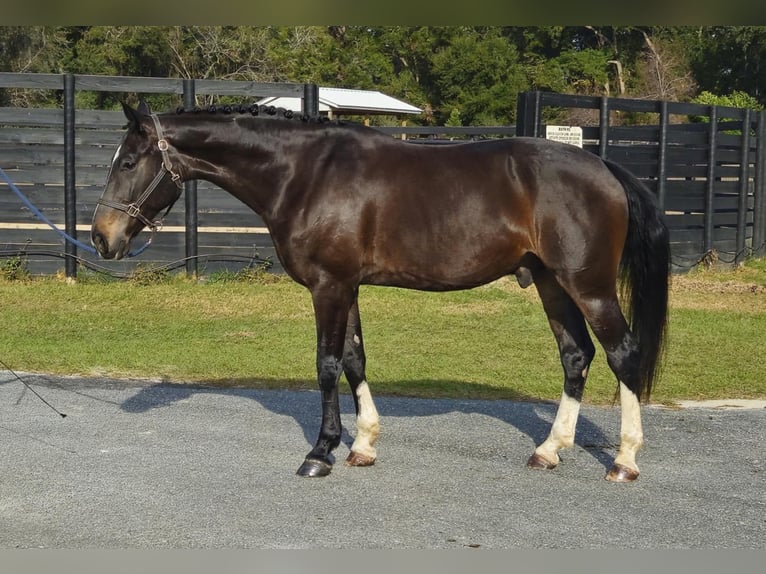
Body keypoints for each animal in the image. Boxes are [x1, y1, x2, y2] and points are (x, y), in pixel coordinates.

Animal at [90, 102, 668, 482]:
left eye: (128, 162)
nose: (101, 237)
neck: (305, 175)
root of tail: (603, 167)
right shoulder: (347, 286)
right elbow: (354, 359)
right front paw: (362, 444)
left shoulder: (329, 286)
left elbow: (326, 364)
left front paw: (320, 453)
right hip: (551, 283)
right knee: (576, 355)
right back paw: (549, 450)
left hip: (588, 285)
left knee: (622, 353)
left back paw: (624, 460)